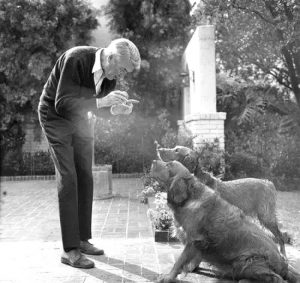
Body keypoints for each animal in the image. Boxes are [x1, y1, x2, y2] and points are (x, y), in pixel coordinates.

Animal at [150, 160, 300, 283]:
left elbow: (179, 261)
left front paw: (168, 277)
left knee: (278, 278)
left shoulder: (194, 240)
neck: (190, 197)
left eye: (168, 165)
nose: (153, 161)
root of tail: (283, 264)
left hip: (248, 259)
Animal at [156, 144, 288, 258]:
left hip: (266, 217)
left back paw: (283, 256)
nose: (159, 149)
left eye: (176, 150)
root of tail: (269, 183)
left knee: (280, 237)